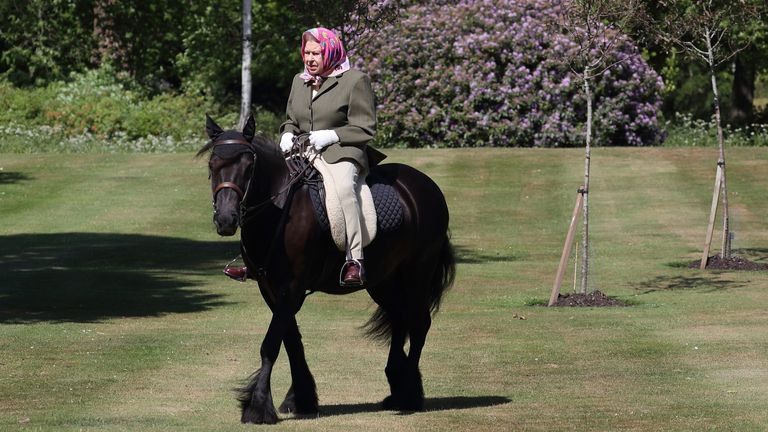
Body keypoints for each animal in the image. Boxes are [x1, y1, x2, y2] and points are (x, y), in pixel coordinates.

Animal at [198, 114, 456, 422]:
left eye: (249, 167)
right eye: (212, 165)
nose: (226, 220)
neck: (278, 208)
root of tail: (425, 185)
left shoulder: (291, 286)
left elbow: (271, 343)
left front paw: (258, 406)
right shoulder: (270, 287)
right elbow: (291, 341)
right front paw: (300, 398)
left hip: (417, 272)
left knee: (418, 324)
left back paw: (409, 395)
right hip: (383, 280)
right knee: (399, 319)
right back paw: (397, 386)